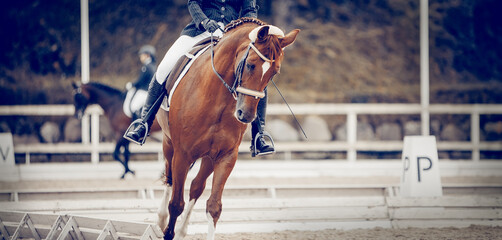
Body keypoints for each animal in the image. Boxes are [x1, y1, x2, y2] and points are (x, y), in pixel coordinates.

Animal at [155, 17, 300, 239]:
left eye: (274, 73)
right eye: (249, 65)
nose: (246, 115)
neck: (217, 100)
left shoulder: (226, 156)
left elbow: (214, 207)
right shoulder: (183, 154)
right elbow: (176, 204)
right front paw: (167, 231)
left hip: (208, 156)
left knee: (196, 187)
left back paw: (182, 230)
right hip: (169, 143)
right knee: (170, 179)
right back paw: (162, 219)